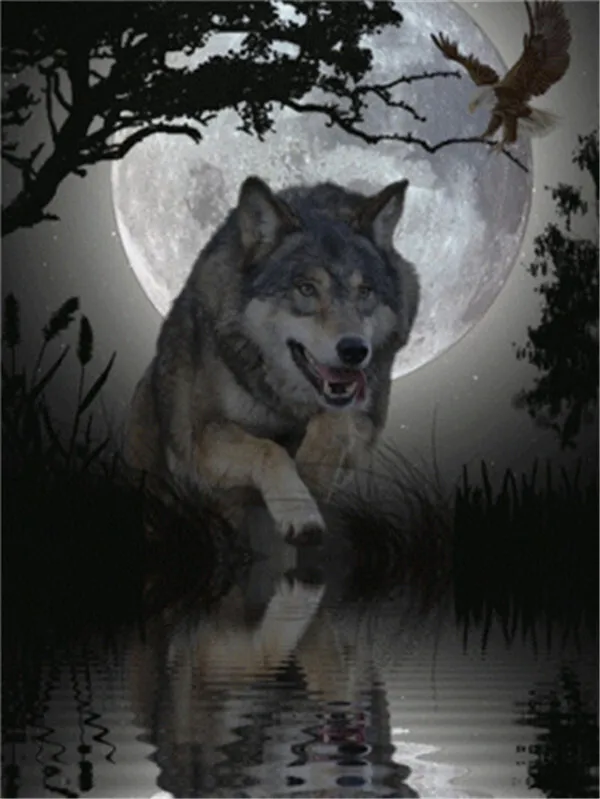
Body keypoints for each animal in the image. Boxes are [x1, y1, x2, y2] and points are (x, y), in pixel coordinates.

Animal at [123, 175, 420, 543]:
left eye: (364, 291)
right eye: (306, 289)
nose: (354, 350)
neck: (286, 405)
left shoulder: (364, 424)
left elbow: (337, 422)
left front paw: (312, 470)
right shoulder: (202, 440)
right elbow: (269, 450)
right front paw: (300, 512)